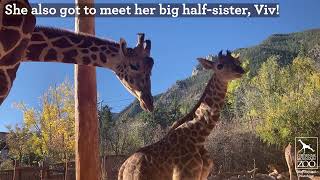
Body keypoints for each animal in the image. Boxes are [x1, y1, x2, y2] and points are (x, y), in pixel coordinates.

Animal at [118, 50, 245, 180]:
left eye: (237, 61)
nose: (240, 71)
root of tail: (122, 168)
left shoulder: (203, 175)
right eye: (219, 66)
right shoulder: (184, 175)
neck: (199, 138)